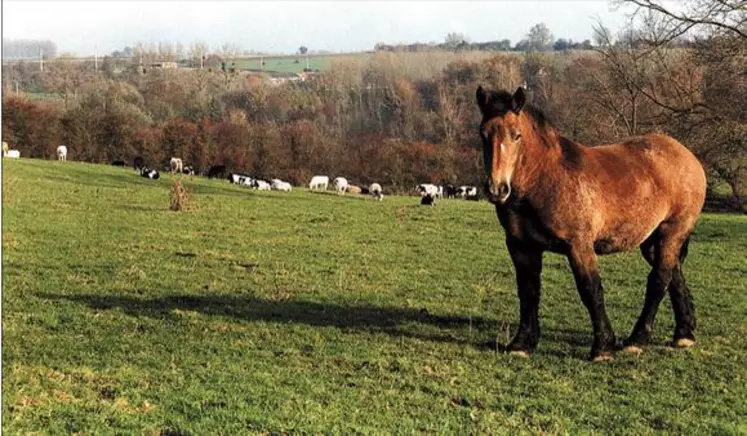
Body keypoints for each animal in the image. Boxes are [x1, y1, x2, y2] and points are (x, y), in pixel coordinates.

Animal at [476, 86, 712, 362]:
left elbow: (590, 290)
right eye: (483, 134)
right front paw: (522, 343)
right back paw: (684, 334)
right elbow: (528, 291)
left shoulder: (578, 244)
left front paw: (603, 347)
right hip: (652, 241)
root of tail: (687, 156)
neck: (545, 178)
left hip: (672, 232)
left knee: (659, 280)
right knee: (674, 275)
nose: (497, 189)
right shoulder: (521, 247)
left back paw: (637, 340)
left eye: (516, 135)